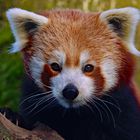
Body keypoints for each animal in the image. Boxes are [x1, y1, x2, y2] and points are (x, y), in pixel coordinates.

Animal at [1, 6, 140, 140]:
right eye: (55, 66)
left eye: (88, 67)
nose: (70, 91)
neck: (73, 114)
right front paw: (12, 116)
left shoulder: (123, 108)